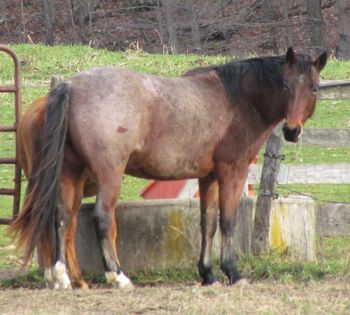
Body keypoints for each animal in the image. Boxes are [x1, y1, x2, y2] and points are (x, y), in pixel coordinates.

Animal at [9, 47, 326, 292]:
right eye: (285, 86)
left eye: (312, 88)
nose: (292, 130)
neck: (238, 100)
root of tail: (71, 86)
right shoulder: (232, 173)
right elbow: (228, 221)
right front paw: (233, 272)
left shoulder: (208, 177)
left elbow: (207, 223)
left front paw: (208, 274)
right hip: (109, 175)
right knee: (102, 217)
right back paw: (118, 277)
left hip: (69, 174)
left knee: (62, 218)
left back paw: (62, 278)